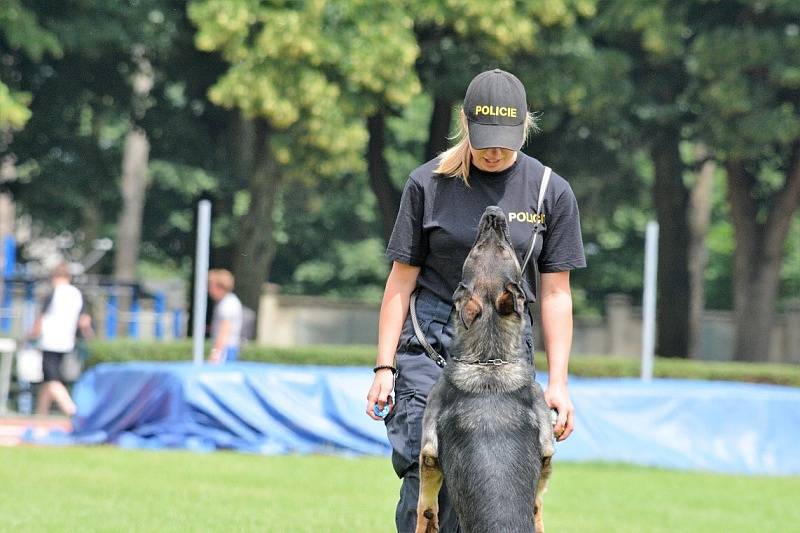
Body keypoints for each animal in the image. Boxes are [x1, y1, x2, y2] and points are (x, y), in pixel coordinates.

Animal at [416, 206, 552, 532]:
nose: (492, 212)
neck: (490, 360)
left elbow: (424, 505)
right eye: (478, 249)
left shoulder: (428, 453)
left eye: (503, 249)